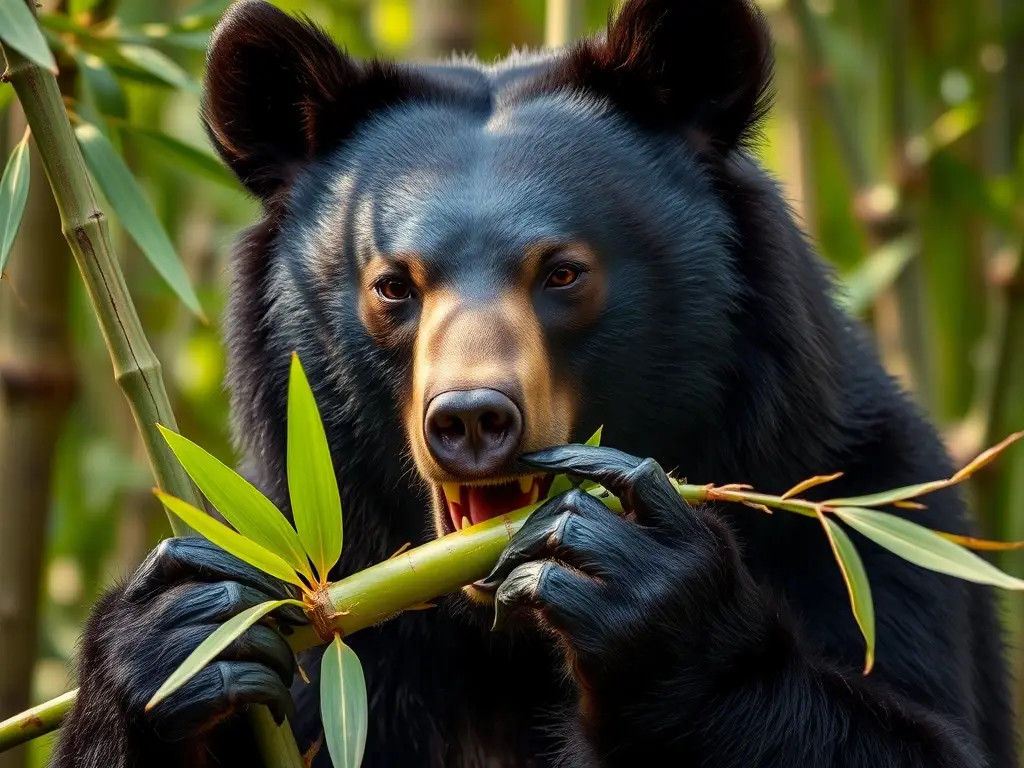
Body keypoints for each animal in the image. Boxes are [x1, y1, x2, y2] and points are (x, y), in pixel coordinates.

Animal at [49, 0, 1017, 766]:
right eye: (392, 285)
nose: (472, 417)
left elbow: (917, 726)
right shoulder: (329, 614)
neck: (492, 632)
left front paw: (641, 593)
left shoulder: (873, 517)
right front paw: (177, 632)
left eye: (563, 273)